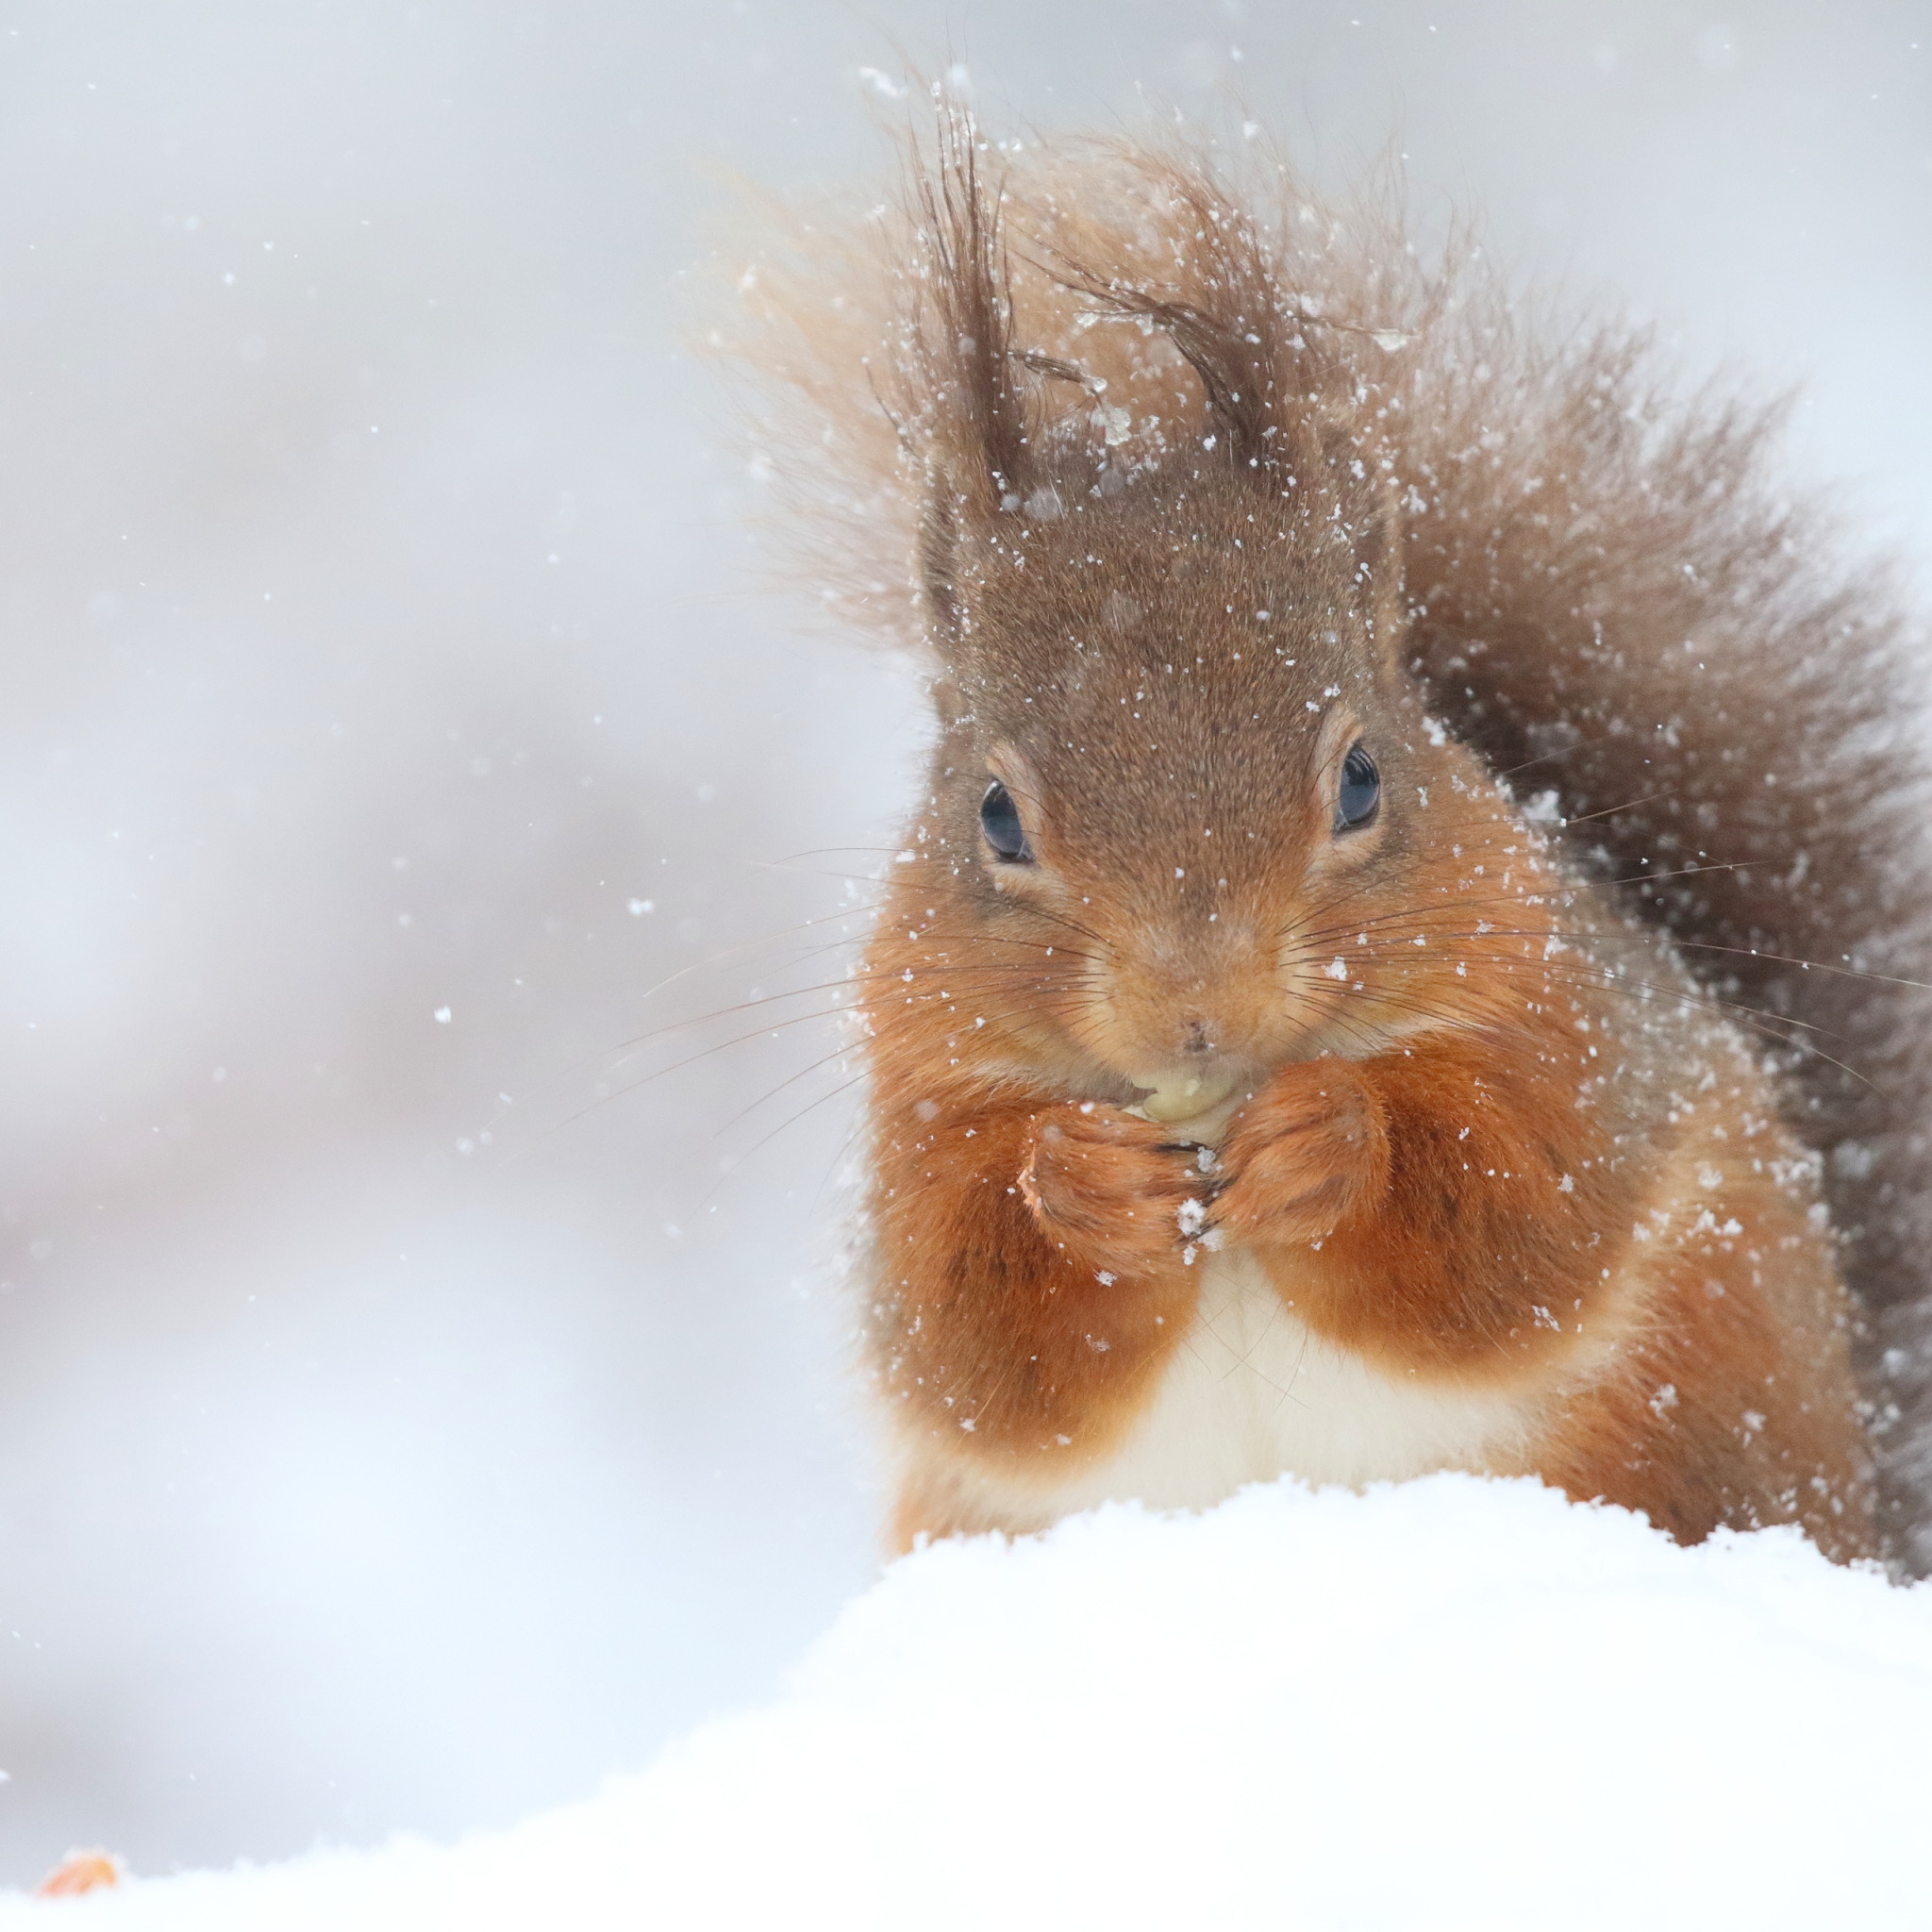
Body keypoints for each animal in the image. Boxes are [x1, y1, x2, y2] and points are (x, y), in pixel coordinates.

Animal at [726, 106, 1932, 1568]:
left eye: (1361, 780)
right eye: (996, 817)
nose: (1196, 1007)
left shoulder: (1572, 1032)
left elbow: (1517, 1220)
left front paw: (1330, 1139)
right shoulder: (920, 1104)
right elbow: (970, 1337)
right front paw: (1076, 1180)